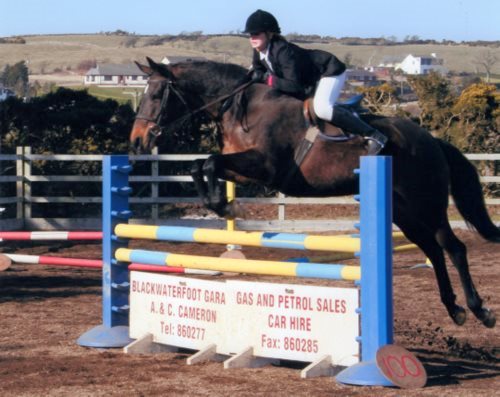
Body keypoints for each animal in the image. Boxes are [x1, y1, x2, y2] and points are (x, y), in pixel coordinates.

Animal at [131, 56, 498, 328]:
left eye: (156, 95)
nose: (137, 141)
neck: (241, 107)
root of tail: (432, 141)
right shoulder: (241, 166)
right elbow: (200, 165)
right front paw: (223, 206)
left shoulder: (265, 167)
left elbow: (207, 163)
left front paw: (227, 207)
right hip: (404, 212)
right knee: (434, 250)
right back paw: (454, 309)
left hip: (427, 204)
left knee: (453, 247)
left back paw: (478, 310)